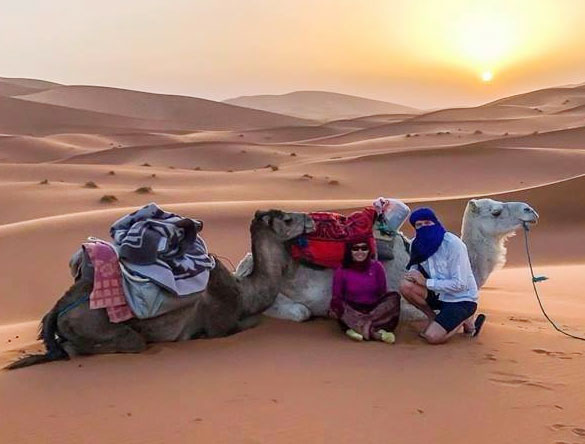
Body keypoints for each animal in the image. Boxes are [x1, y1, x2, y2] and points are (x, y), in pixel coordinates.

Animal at [5, 210, 314, 370]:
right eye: (287, 219)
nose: (309, 218)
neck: (243, 291)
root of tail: (58, 309)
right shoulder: (220, 325)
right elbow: (252, 322)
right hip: (100, 327)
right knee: (117, 344)